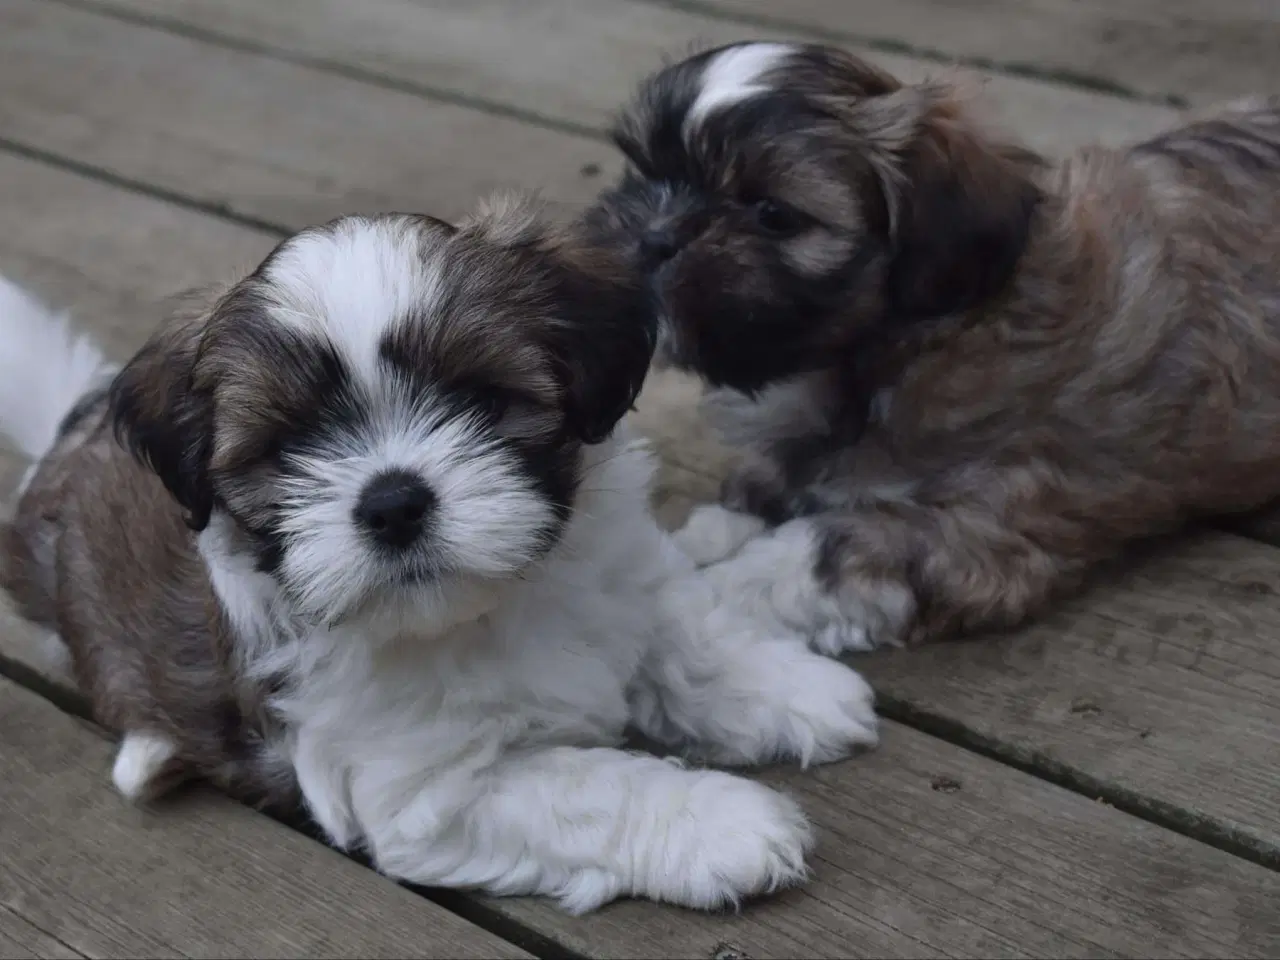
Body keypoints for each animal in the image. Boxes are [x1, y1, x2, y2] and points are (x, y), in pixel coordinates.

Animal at [0, 203, 880, 916]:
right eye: (289, 447)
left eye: (482, 399)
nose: (393, 502)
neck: (496, 602)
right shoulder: (438, 792)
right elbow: (595, 791)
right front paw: (726, 824)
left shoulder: (621, 575)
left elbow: (683, 639)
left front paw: (794, 690)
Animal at [586, 39, 1280, 655]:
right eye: (647, 172)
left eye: (774, 215)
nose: (654, 236)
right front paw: (707, 537)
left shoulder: (985, 520)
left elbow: (822, 551)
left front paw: (709, 589)